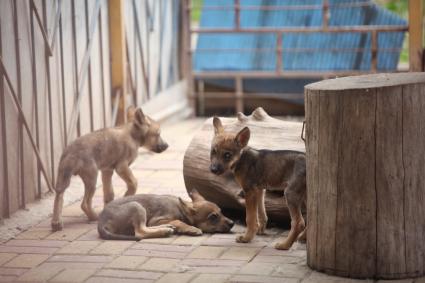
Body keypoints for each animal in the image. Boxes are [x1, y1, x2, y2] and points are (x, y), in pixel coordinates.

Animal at [97, 190, 234, 241]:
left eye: (221, 212)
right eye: (213, 217)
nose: (232, 223)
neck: (181, 209)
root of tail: (101, 224)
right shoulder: (156, 220)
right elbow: (178, 221)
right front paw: (191, 229)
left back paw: (167, 228)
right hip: (136, 206)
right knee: (140, 232)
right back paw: (164, 231)